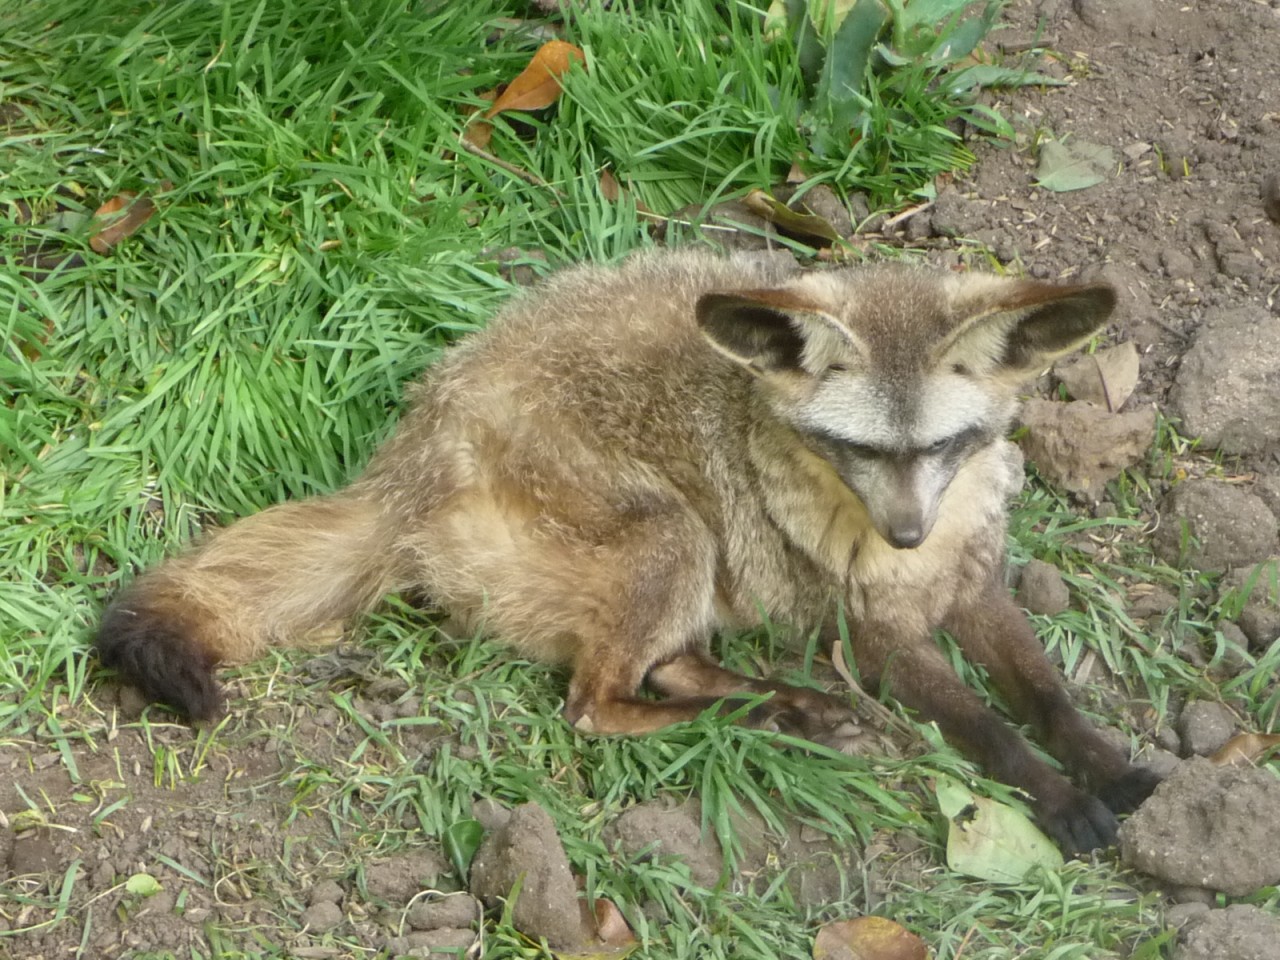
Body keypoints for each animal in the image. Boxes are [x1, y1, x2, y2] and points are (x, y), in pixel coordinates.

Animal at [96, 249, 1159, 855]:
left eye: (943, 445)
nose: (904, 532)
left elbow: (1045, 696)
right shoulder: (874, 633)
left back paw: (785, 705)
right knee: (601, 703)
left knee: (667, 666)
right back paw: (765, 714)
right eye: (858, 449)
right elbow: (987, 728)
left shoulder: (973, 583)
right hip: (674, 531)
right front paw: (1056, 799)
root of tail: (406, 464)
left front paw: (1104, 765)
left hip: (691, 568)